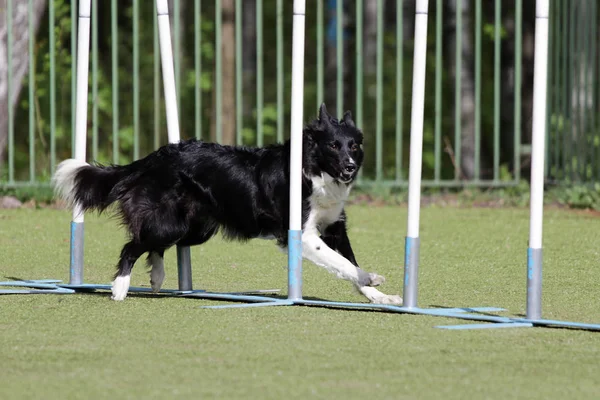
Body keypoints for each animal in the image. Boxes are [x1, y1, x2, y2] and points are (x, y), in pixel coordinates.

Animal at [52, 102, 404, 304]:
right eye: (333, 145)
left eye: (354, 145)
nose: (350, 167)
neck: (314, 171)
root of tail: (156, 156)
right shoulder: (302, 235)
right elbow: (343, 264)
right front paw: (371, 279)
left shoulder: (335, 228)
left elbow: (349, 262)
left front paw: (379, 295)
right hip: (171, 222)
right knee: (133, 245)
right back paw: (120, 289)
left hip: (196, 227)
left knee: (153, 245)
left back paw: (157, 278)